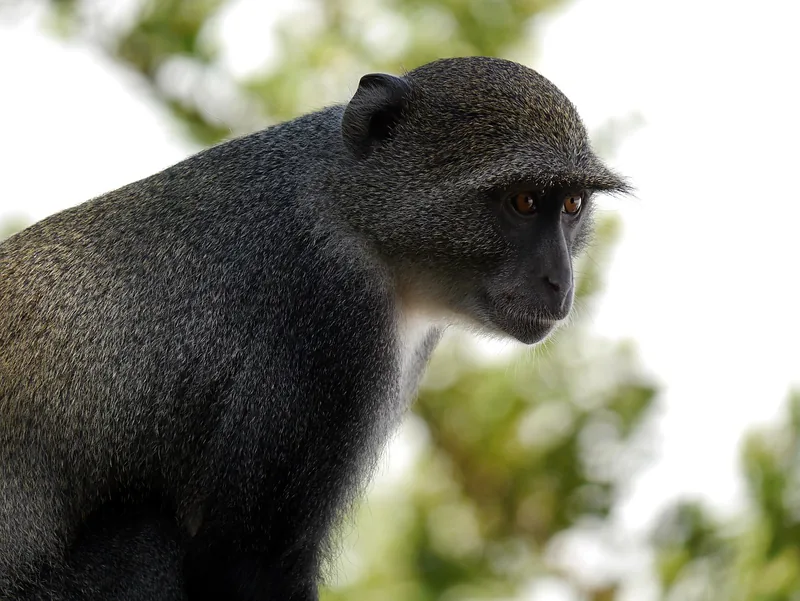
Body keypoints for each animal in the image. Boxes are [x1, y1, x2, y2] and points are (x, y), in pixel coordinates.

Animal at [0, 56, 628, 600]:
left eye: (571, 205)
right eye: (523, 202)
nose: (559, 280)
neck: (349, 209)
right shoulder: (327, 317)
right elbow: (244, 566)